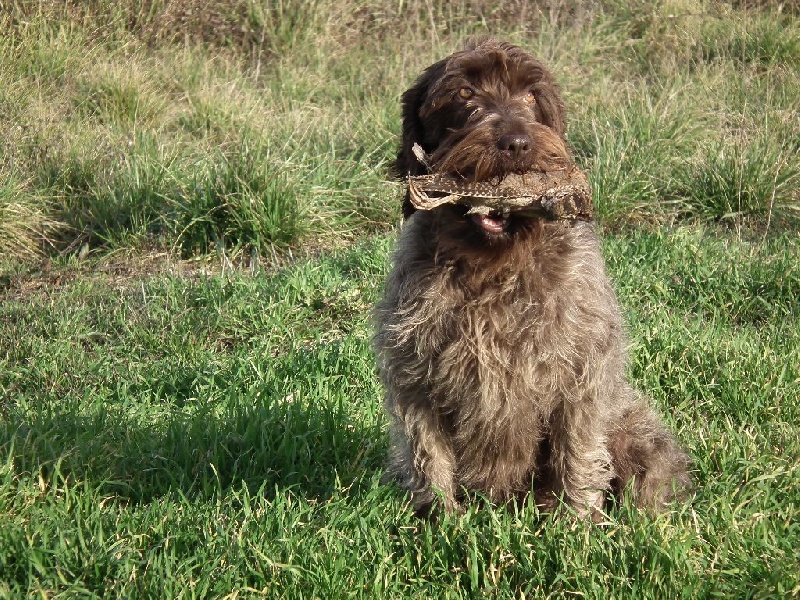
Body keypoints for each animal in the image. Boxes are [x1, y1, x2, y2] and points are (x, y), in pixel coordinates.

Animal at [372, 38, 692, 516]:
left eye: (529, 97)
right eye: (464, 93)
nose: (517, 144)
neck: (493, 267)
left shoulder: (580, 377)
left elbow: (577, 453)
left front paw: (575, 524)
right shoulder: (415, 380)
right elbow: (429, 457)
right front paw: (439, 520)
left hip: (635, 432)